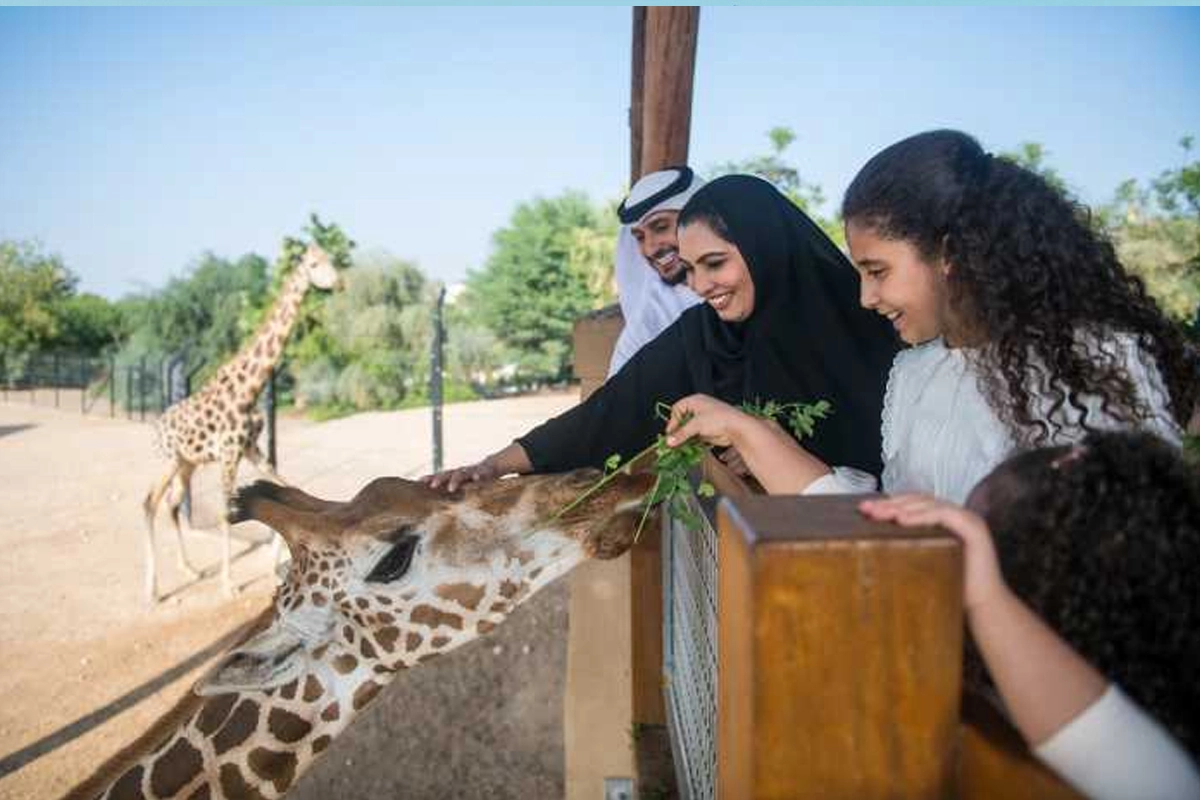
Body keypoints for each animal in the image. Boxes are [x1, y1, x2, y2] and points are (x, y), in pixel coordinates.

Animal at [144, 241, 345, 604]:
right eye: (314, 264)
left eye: (331, 259)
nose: (339, 282)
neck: (249, 388)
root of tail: (158, 424)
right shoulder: (229, 453)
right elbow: (226, 513)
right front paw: (229, 585)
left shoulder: (251, 448)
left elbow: (286, 484)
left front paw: (274, 561)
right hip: (171, 459)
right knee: (149, 502)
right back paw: (153, 591)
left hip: (188, 464)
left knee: (172, 503)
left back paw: (189, 569)